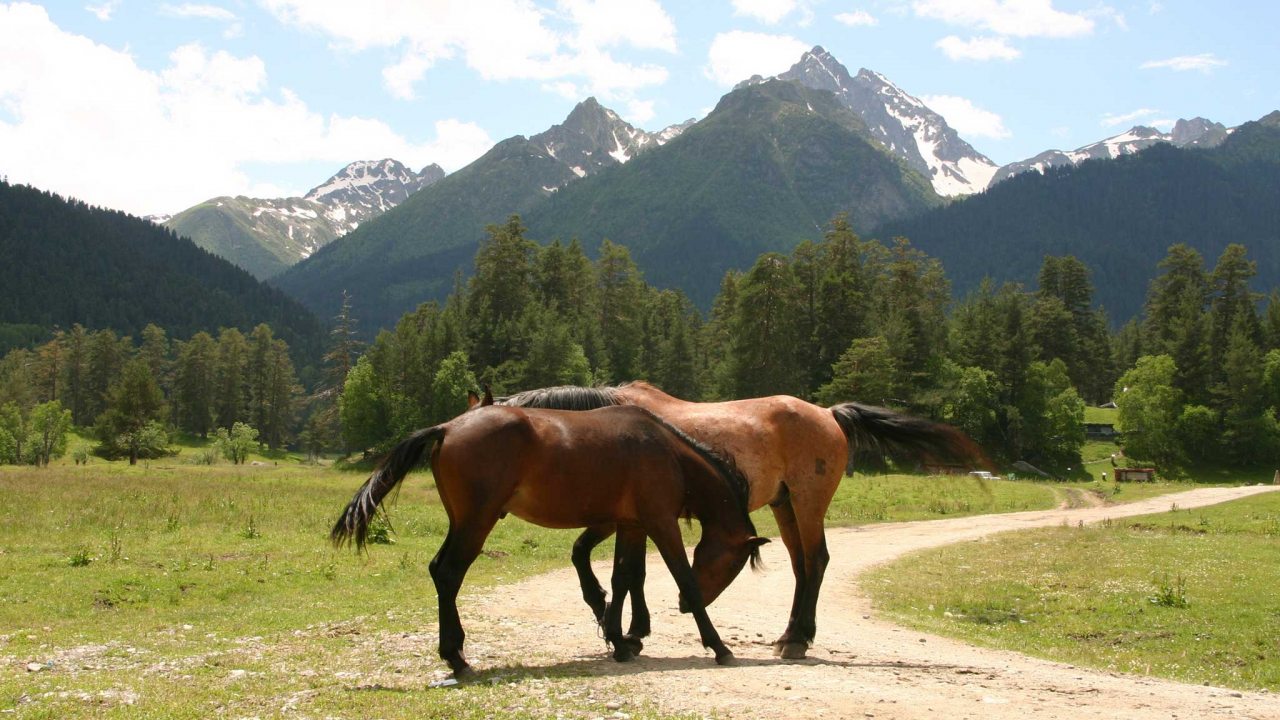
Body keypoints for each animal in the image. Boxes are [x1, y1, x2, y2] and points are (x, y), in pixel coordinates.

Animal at [332, 404, 768, 671]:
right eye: (733, 564)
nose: (680, 608)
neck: (666, 452)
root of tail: (448, 427)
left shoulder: (630, 525)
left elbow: (623, 579)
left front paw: (620, 640)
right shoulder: (661, 524)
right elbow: (685, 579)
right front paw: (718, 646)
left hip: (463, 522)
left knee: (439, 570)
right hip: (476, 523)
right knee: (449, 574)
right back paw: (455, 656)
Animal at [499, 381, 977, 655]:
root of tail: (828, 413)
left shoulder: (634, 518)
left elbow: (628, 573)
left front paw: (627, 631)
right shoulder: (627, 518)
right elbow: (614, 568)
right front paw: (624, 626)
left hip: (807, 503)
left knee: (816, 561)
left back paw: (798, 640)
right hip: (785, 506)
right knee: (802, 566)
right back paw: (790, 634)